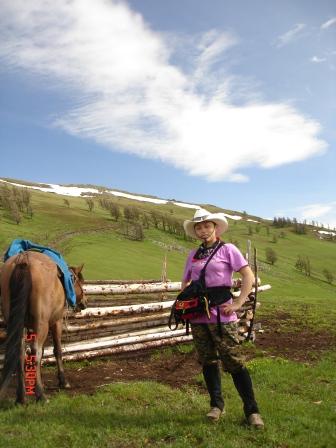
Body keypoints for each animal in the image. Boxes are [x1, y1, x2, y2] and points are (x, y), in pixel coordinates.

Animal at [0, 250, 86, 404]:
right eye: (80, 281)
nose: (84, 303)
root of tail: (24, 259)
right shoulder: (56, 322)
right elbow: (57, 350)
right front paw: (63, 381)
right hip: (42, 323)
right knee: (36, 351)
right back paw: (41, 395)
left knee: (20, 351)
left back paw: (21, 397)